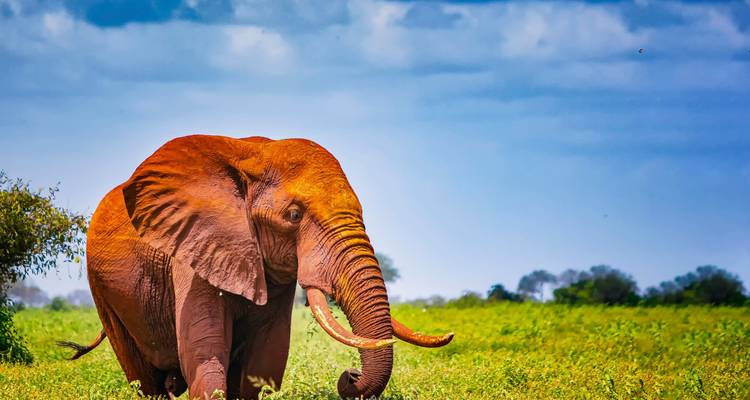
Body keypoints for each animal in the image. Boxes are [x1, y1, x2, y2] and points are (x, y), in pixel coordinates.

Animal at [59, 135, 453, 400]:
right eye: (293, 216)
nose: (350, 375)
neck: (256, 154)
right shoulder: (193, 251)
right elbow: (205, 356)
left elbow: (263, 362)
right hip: (102, 290)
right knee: (145, 381)